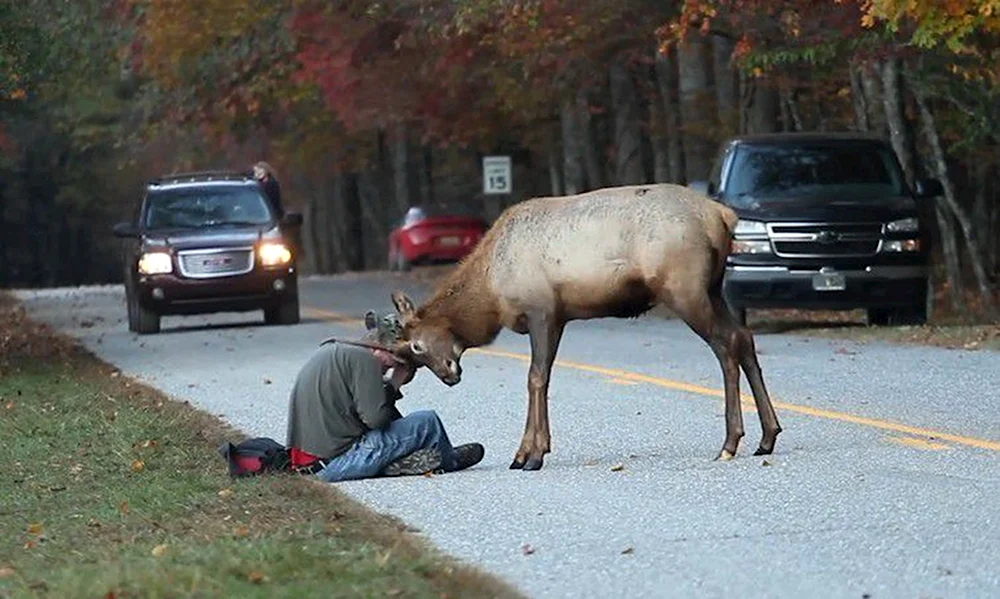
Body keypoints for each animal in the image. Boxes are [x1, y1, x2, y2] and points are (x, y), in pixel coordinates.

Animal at [388, 182, 780, 468]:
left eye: (417, 345)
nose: (449, 375)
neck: (491, 295)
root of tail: (722, 215)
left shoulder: (542, 310)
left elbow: (535, 378)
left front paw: (530, 455)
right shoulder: (559, 317)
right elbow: (543, 378)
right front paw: (530, 451)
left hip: (685, 289)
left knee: (725, 346)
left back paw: (729, 442)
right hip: (713, 288)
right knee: (744, 337)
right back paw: (767, 436)